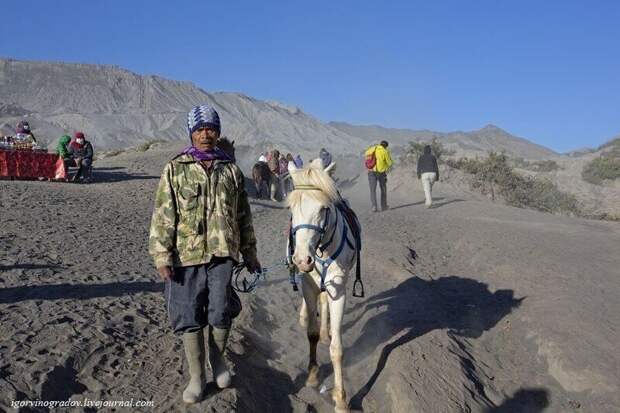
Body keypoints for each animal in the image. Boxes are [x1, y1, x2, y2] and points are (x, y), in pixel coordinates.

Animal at [288, 160, 360, 412]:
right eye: (291, 209)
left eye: (323, 209)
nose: (302, 260)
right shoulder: (308, 285)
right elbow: (310, 334)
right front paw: (312, 376)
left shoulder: (338, 290)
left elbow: (337, 349)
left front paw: (341, 398)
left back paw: (326, 331)